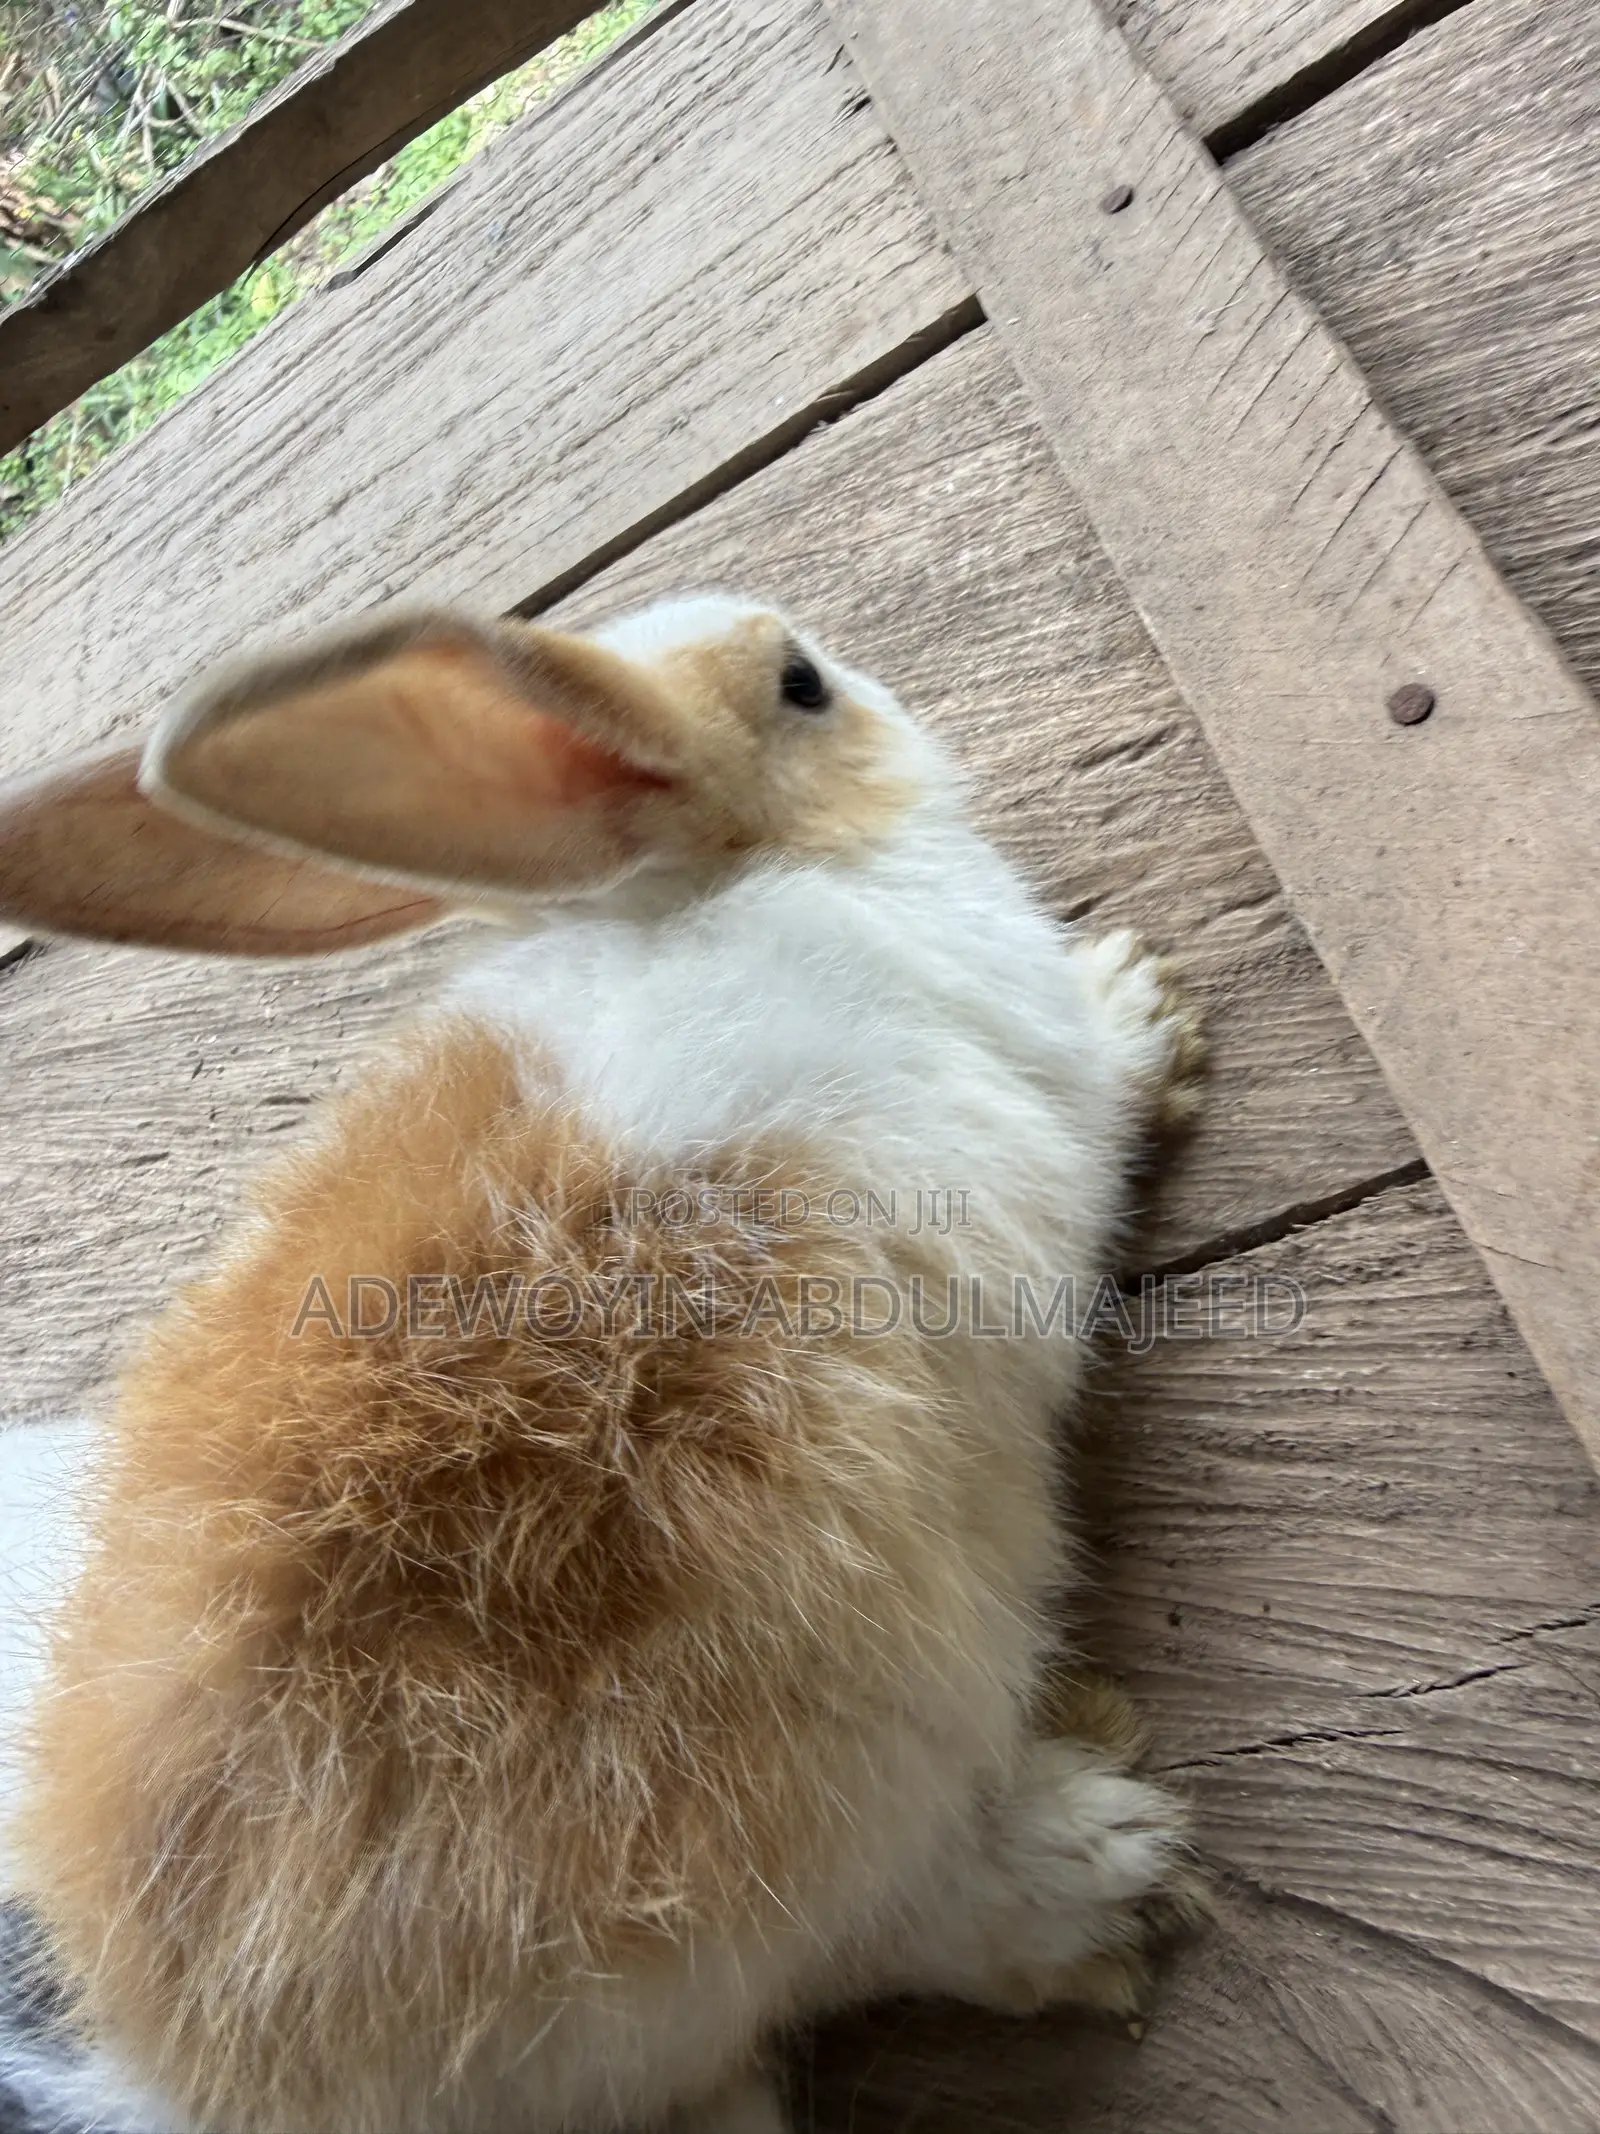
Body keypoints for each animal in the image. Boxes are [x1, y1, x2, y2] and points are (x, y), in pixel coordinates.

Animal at [0, 595, 1205, 2134]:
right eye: (798, 684)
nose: (851, 677)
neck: (708, 883)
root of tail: (194, 2068)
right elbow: (1101, 1103)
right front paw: (1140, 1013)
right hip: (813, 1792)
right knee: (865, 1931)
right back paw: (1097, 1867)